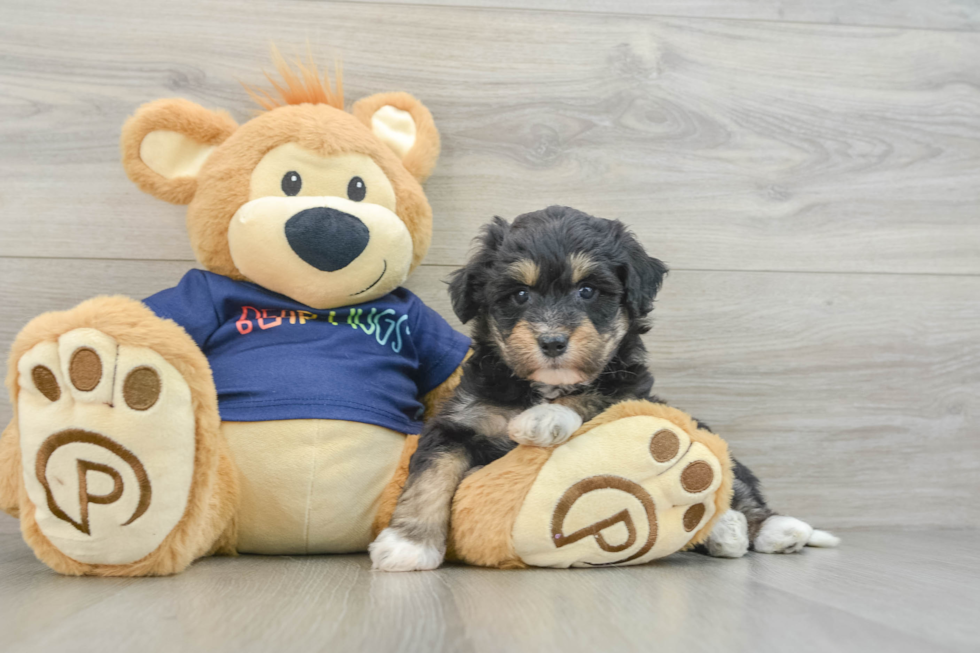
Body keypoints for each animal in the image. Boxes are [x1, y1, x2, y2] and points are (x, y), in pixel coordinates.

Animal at [372, 206, 840, 568]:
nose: (552, 341)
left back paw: (771, 529)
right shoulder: (460, 421)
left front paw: (544, 418)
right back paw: (728, 532)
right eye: (520, 295)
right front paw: (408, 545)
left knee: (739, 487)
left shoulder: (631, 393)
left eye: (587, 290)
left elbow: (591, 398)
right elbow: (431, 475)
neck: (542, 386)